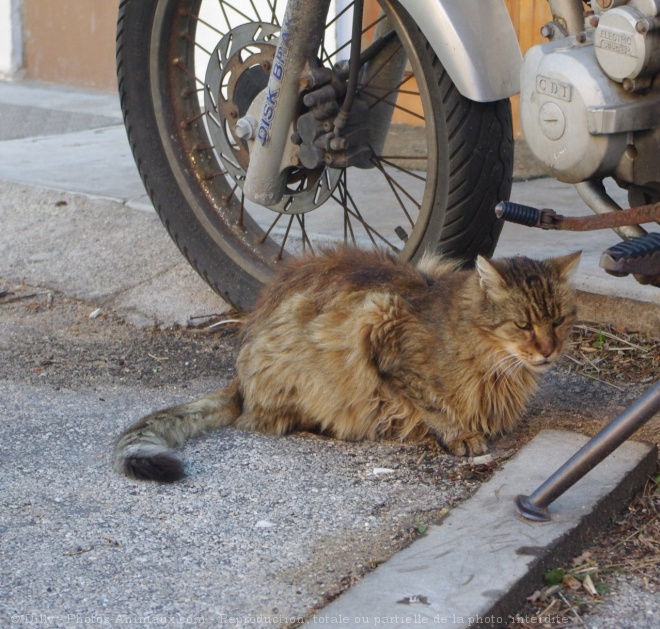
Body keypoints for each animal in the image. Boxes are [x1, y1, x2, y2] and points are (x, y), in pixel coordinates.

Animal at [112, 245, 576, 480]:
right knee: (265, 418)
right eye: (522, 324)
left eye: (559, 320)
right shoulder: (379, 327)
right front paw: (459, 434)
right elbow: (430, 401)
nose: (549, 350)